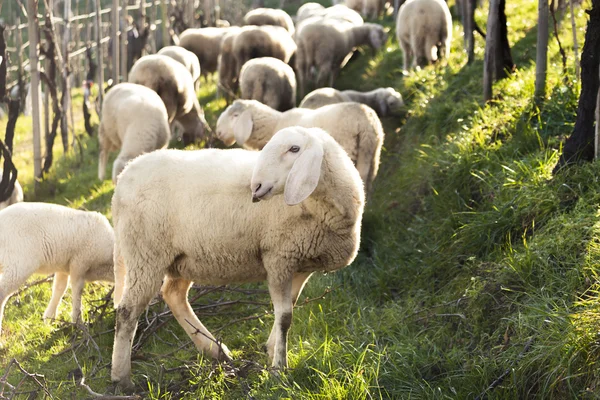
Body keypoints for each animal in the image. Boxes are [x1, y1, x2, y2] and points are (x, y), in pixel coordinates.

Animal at [0, 202, 115, 332]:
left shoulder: (64, 268)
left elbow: (59, 289)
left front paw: (49, 318)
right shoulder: (79, 262)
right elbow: (77, 290)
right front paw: (78, 322)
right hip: (19, 264)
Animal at [111, 126, 366, 390]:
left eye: (294, 149)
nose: (256, 186)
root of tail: (124, 178)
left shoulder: (301, 264)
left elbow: (287, 309)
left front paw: (271, 349)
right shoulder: (278, 257)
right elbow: (285, 317)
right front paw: (279, 370)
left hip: (183, 257)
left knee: (173, 295)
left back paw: (215, 351)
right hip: (145, 253)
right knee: (127, 311)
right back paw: (122, 378)